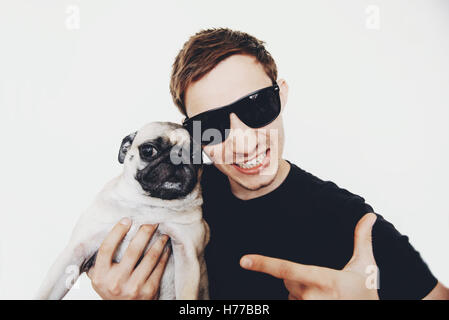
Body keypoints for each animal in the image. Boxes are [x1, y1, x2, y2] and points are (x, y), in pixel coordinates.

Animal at [36, 121, 209, 298]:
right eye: (148, 150)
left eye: (195, 156)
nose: (178, 156)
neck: (149, 204)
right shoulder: (77, 250)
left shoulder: (188, 256)